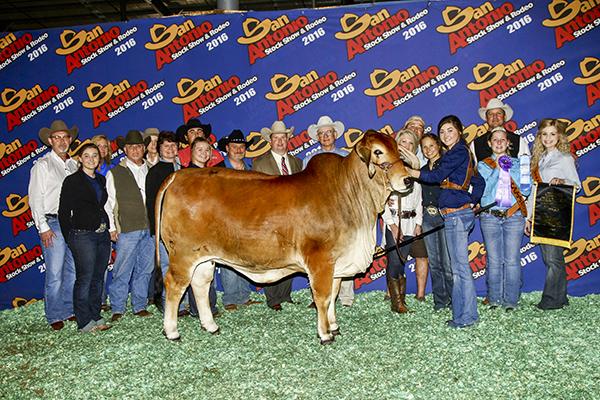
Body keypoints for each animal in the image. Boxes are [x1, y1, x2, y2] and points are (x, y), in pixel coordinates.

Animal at [156, 130, 412, 344]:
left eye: (397, 149)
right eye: (378, 151)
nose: (408, 180)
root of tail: (180, 175)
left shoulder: (337, 263)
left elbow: (334, 294)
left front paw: (334, 326)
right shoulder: (319, 260)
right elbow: (323, 297)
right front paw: (325, 334)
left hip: (205, 257)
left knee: (200, 285)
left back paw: (210, 326)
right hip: (182, 254)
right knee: (175, 286)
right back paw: (172, 331)